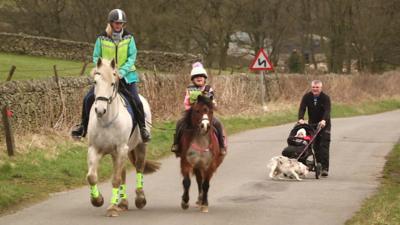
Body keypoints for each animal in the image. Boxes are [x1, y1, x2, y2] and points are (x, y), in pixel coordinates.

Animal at [86, 58, 159, 216]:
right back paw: (123, 203)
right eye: (95, 82)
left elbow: (116, 179)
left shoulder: (121, 150)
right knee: (124, 173)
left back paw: (140, 199)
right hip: (119, 153)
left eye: (112, 83)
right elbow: (91, 177)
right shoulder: (95, 149)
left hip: (139, 147)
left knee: (139, 168)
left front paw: (112, 208)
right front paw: (97, 200)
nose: (100, 110)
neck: (106, 121)